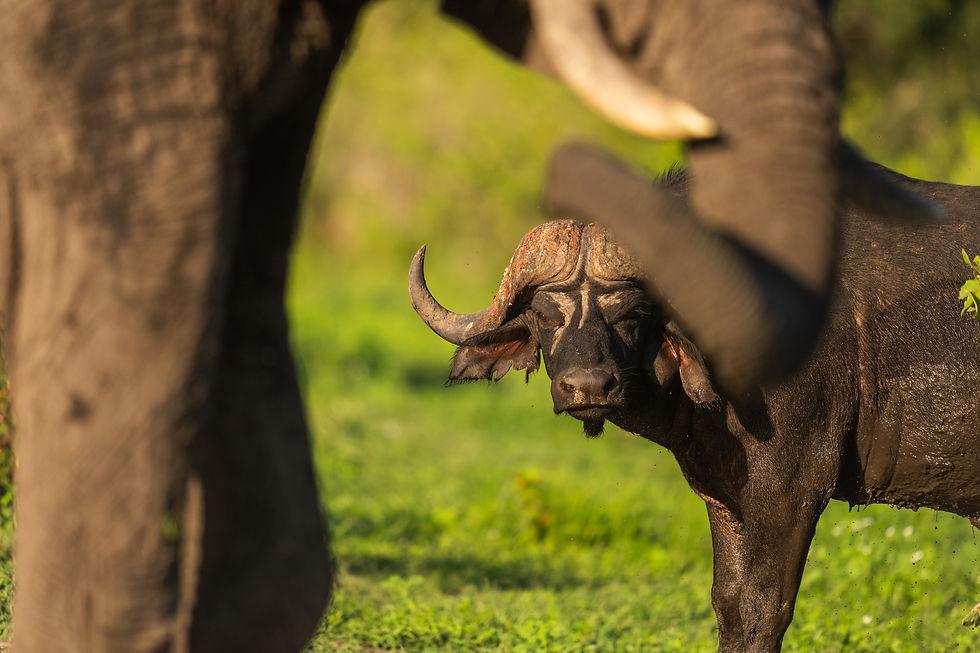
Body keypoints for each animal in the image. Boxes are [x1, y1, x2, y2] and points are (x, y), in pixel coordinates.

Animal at [409, 168, 980, 652]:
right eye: (545, 315)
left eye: (632, 313)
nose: (588, 386)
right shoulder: (723, 493)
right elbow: (729, 605)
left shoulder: (794, 484)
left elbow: (765, 608)